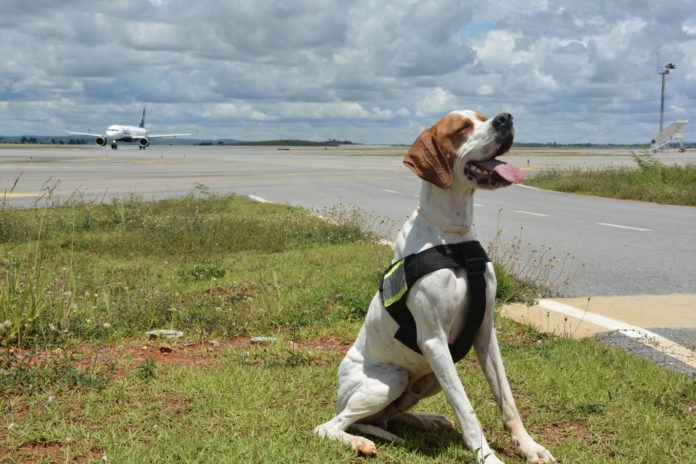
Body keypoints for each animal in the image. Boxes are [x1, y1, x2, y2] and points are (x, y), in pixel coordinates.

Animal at [316, 110, 556, 462]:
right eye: (461, 129)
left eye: (483, 117)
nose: (505, 118)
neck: (453, 237)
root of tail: (338, 394)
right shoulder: (433, 341)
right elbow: (467, 410)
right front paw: (488, 456)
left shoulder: (484, 331)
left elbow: (507, 400)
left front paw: (529, 446)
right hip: (392, 378)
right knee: (331, 426)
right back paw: (360, 441)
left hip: (427, 379)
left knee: (387, 417)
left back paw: (426, 420)